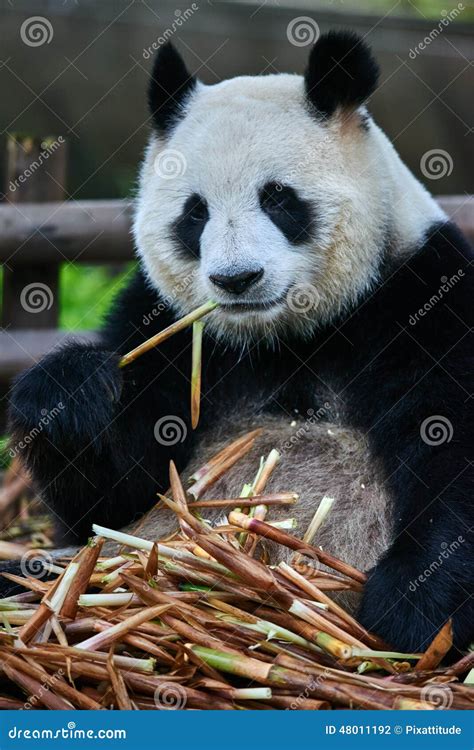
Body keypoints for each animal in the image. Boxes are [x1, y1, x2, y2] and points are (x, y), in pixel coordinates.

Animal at [4, 30, 474, 652]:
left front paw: (412, 606)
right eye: (194, 212)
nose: (236, 279)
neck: (284, 337)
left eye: (278, 198)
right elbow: (110, 502)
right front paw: (67, 393)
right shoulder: (166, 328)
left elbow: (454, 447)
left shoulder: (422, 295)